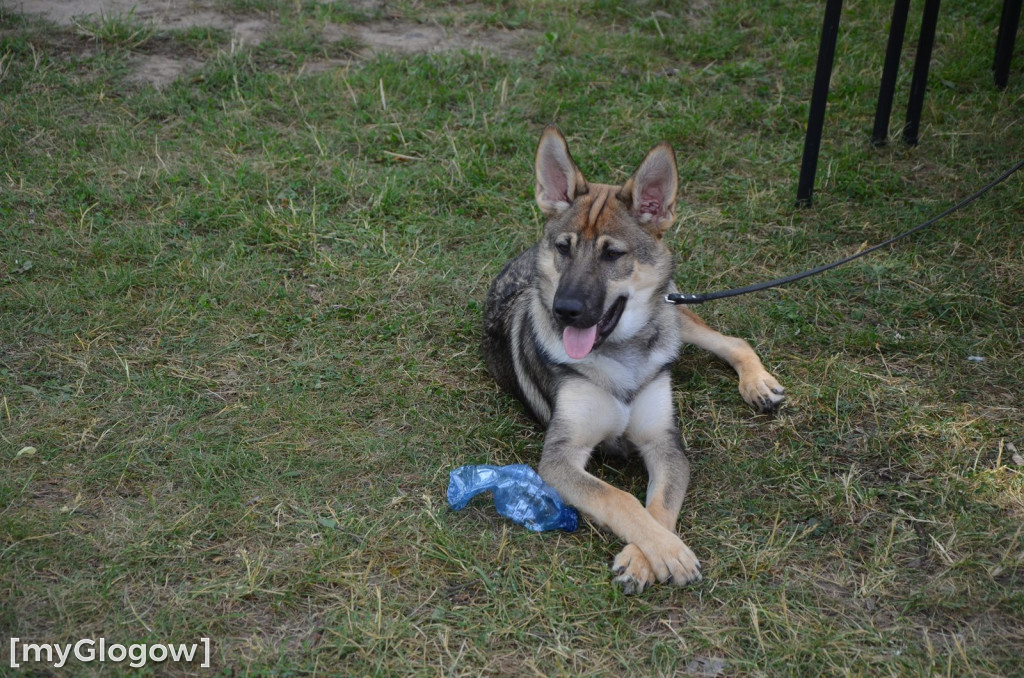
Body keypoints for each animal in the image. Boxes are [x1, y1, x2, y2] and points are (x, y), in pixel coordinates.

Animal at [479, 127, 782, 594]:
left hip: (674, 311)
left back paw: (758, 383)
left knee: (732, 340)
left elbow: (658, 507)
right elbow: (619, 498)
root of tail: (526, 254)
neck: (620, 357)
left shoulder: (665, 444)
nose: (565, 310)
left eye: (612, 254)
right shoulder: (560, 458)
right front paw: (665, 552)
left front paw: (649, 556)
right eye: (564, 248)